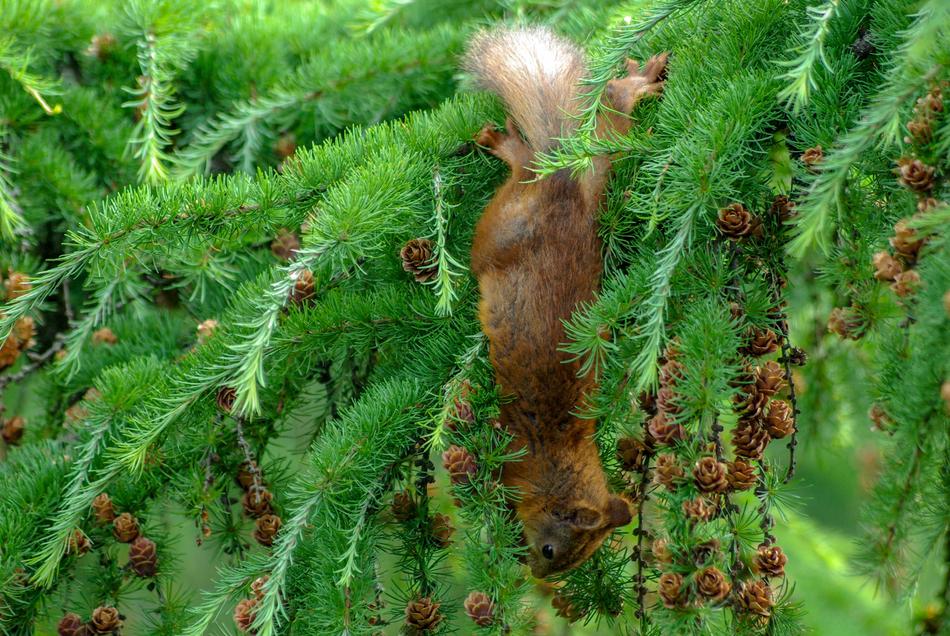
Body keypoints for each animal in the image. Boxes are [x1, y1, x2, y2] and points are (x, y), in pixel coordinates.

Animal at [464, 26, 667, 577]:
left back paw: (638, 82)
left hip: (600, 157)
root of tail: (566, 187)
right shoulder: (518, 461)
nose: (536, 575)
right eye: (554, 550)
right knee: (529, 165)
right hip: (498, 228)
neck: (561, 460)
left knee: (612, 109)